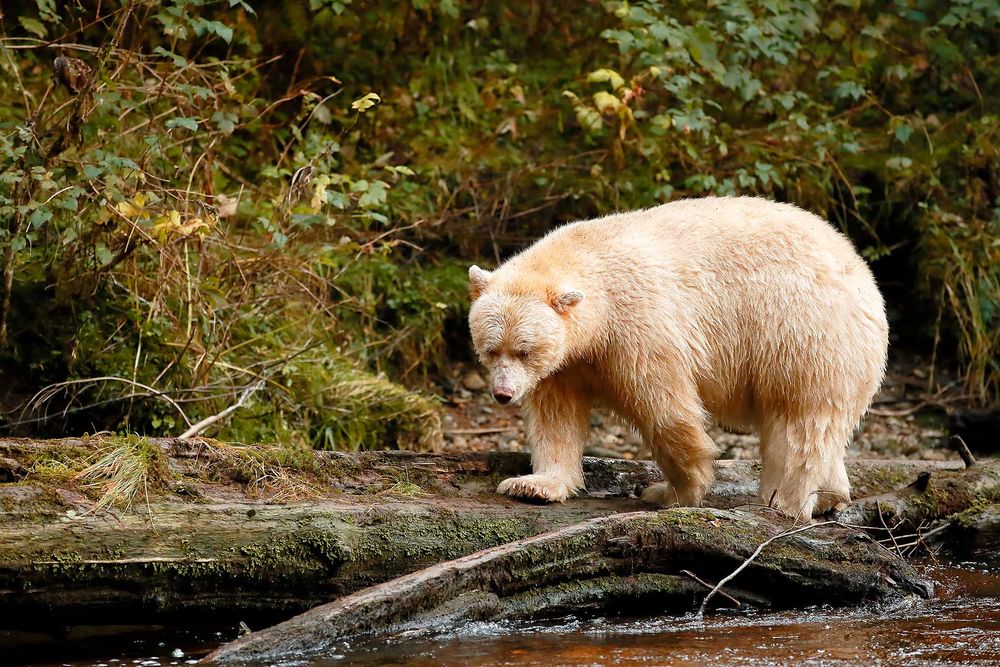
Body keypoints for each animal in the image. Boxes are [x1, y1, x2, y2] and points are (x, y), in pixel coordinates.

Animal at [467, 196, 888, 521]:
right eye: (491, 349)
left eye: (524, 350)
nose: (503, 394)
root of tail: (864, 275)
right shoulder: (566, 362)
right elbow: (555, 415)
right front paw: (532, 485)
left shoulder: (637, 323)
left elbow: (665, 407)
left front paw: (673, 492)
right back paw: (829, 496)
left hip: (801, 331)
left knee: (798, 420)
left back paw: (781, 503)